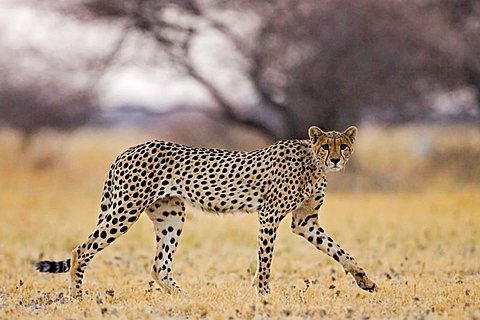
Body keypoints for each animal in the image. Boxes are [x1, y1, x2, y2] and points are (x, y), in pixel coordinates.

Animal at [35, 125, 376, 298]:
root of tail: (129, 148)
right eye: (326, 147)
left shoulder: (305, 221)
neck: (313, 163)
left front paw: (365, 280)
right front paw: (264, 294)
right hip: (125, 209)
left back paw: (184, 297)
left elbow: (339, 251)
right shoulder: (269, 215)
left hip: (170, 215)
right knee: (81, 250)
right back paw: (77, 298)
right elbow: (265, 260)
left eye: (343, 146)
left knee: (159, 265)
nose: (336, 160)